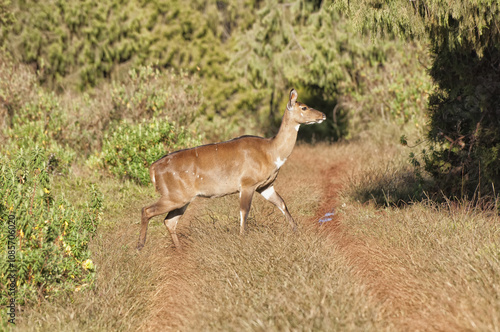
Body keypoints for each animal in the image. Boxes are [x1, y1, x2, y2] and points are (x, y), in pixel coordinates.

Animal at [138, 88, 324, 249]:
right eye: (304, 107)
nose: (323, 115)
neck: (271, 152)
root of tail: (153, 169)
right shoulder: (247, 184)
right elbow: (244, 212)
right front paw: (242, 239)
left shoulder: (265, 186)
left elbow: (282, 204)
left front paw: (297, 232)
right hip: (175, 196)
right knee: (147, 210)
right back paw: (140, 247)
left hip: (183, 199)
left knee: (169, 221)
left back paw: (178, 249)